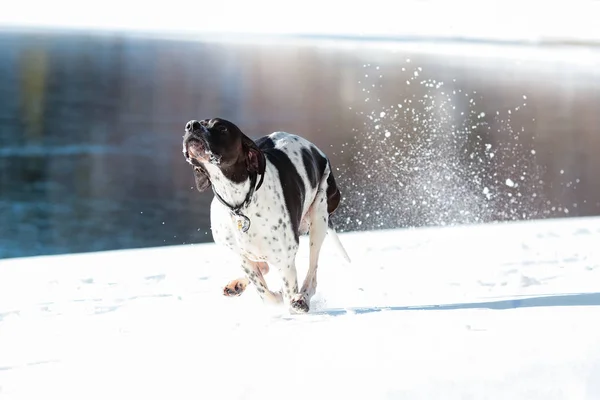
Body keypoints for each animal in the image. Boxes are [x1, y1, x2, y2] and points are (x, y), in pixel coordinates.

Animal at [180, 117, 350, 314]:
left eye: (222, 127)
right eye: (198, 123)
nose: (191, 125)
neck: (241, 203)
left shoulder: (285, 260)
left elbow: (283, 294)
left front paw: (290, 301)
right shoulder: (241, 256)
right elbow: (264, 292)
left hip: (319, 217)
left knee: (312, 273)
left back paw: (302, 298)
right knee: (263, 267)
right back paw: (237, 285)